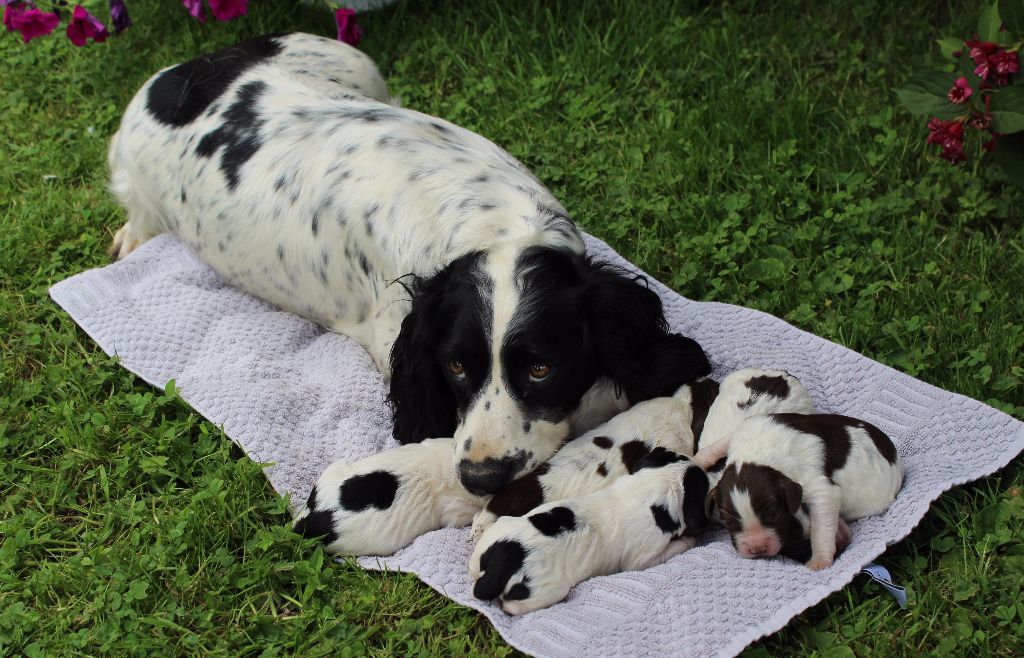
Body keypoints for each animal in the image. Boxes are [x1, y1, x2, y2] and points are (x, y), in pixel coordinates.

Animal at [108, 30, 708, 495]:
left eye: (541, 368)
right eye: (455, 367)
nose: (480, 478)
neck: (492, 219)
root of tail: (186, 68)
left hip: (355, 63)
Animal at [468, 450, 708, 613]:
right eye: (703, 487)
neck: (650, 488)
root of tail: (502, 565)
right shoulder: (641, 560)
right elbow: (672, 548)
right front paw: (690, 540)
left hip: (495, 533)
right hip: (545, 591)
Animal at [696, 415, 905, 568]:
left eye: (776, 517)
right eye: (728, 522)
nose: (758, 549)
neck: (756, 455)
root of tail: (898, 464)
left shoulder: (815, 485)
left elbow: (821, 525)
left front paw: (819, 561)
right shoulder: (748, 427)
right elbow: (724, 440)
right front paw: (702, 457)